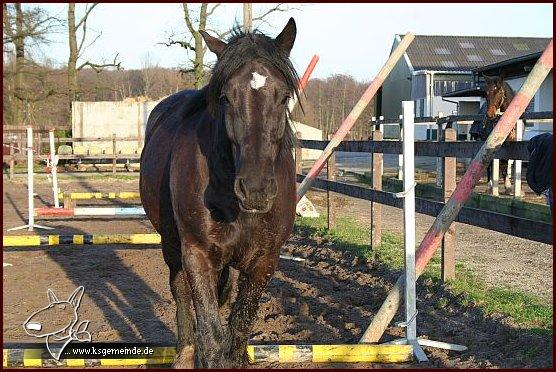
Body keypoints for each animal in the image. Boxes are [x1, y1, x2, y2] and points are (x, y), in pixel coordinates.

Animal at [141, 18, 302, 368]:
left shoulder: (264, 261)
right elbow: (213, 336)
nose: (255, 189)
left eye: (284, 97)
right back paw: (185, 353)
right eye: (227, 97)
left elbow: (239, 328)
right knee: (181, 294)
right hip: (171, 243)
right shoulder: (196, 254)